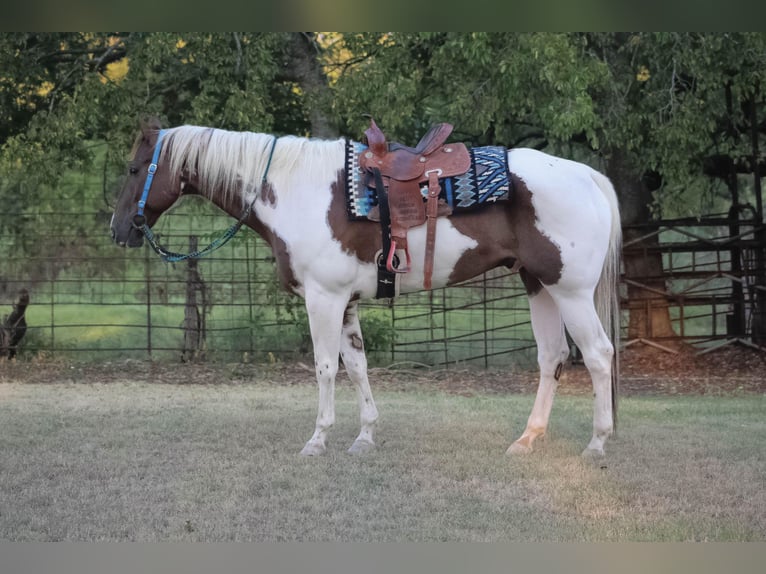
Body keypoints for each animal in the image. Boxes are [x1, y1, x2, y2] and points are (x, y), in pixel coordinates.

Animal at [109, 119, 624, 462]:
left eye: (135, 169)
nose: (118, 230)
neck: (294, 191)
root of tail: (588, 176)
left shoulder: (323, 299)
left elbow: (324, 368)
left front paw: (317, 440)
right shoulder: (347, 302)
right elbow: (356, 366)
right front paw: (364, 437)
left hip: (571, 292)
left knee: (598, 355)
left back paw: (597, 444)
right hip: (539, 284)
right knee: (552, 357)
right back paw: (527, 439)